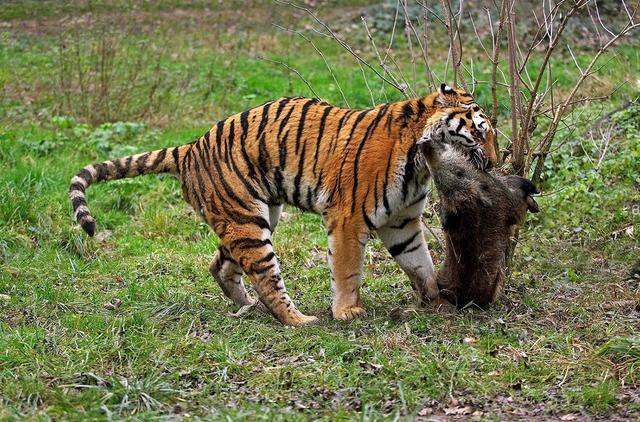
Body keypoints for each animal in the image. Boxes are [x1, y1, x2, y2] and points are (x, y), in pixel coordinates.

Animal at [69, 84, 497, 326]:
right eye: (478, 132)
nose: (493, 162)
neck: (421, 161)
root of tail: (190, 147)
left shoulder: (403, 223)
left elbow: (421, 265)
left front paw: (438, 303)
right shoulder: (348, 218)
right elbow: (348, 270)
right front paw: (347, 311)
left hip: (251, 216)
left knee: (219, 264)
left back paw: (247, 307)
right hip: (248, 223)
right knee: (266, 277)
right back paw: (299, 319)